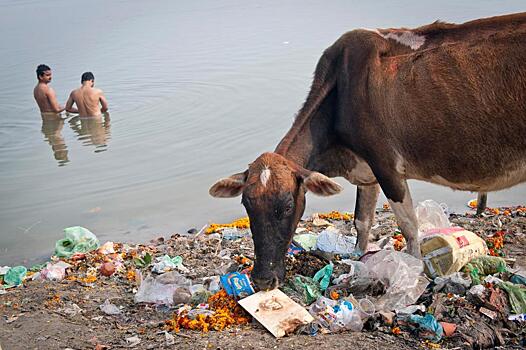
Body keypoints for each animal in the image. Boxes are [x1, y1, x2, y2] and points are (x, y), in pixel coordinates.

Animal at [210, 13, 526, 290]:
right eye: (246, 204)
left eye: (287, 206)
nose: (263, 280)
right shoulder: (367, 171)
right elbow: (362, 221)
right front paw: (358, 260)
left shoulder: (386, 164)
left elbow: (409, 225)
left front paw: (415, 271)